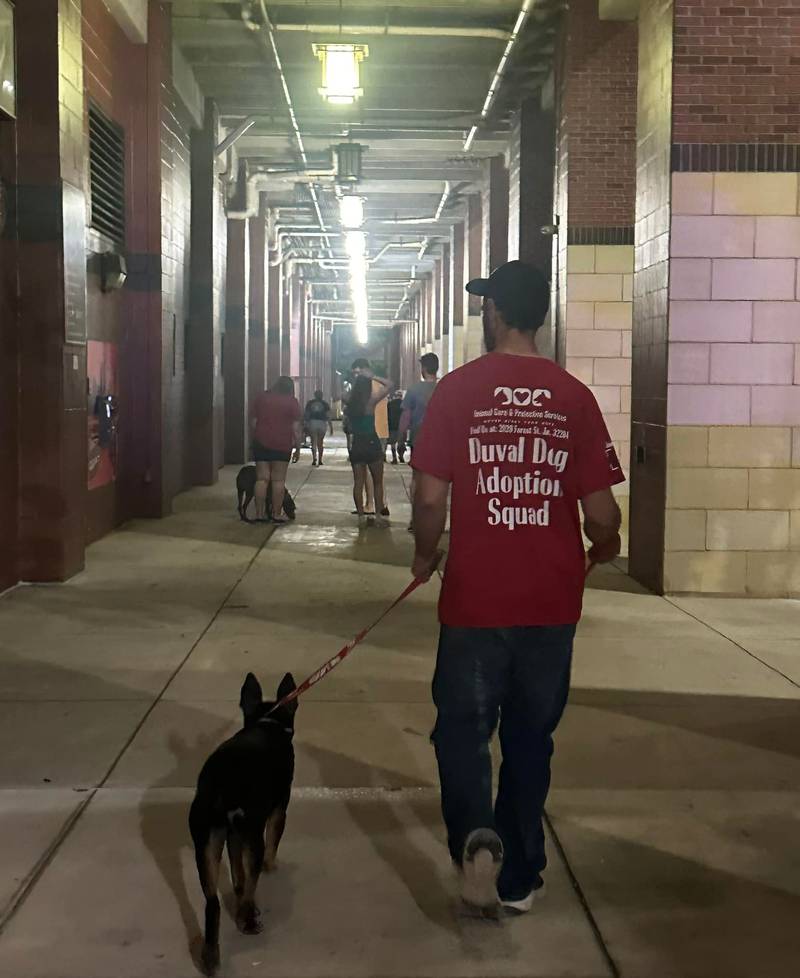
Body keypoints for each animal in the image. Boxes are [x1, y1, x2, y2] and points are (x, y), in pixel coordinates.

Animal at [189, 672, 298, 976]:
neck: (267, 722)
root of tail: (223, 785)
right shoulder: (278, 811)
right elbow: (273, 842)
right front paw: (272, 866)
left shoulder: (231, 836)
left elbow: (237, 875)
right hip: (252, 835)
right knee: (252, 883)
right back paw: (248, 920)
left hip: (206, 844)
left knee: (213, 903)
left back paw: (211, 955)